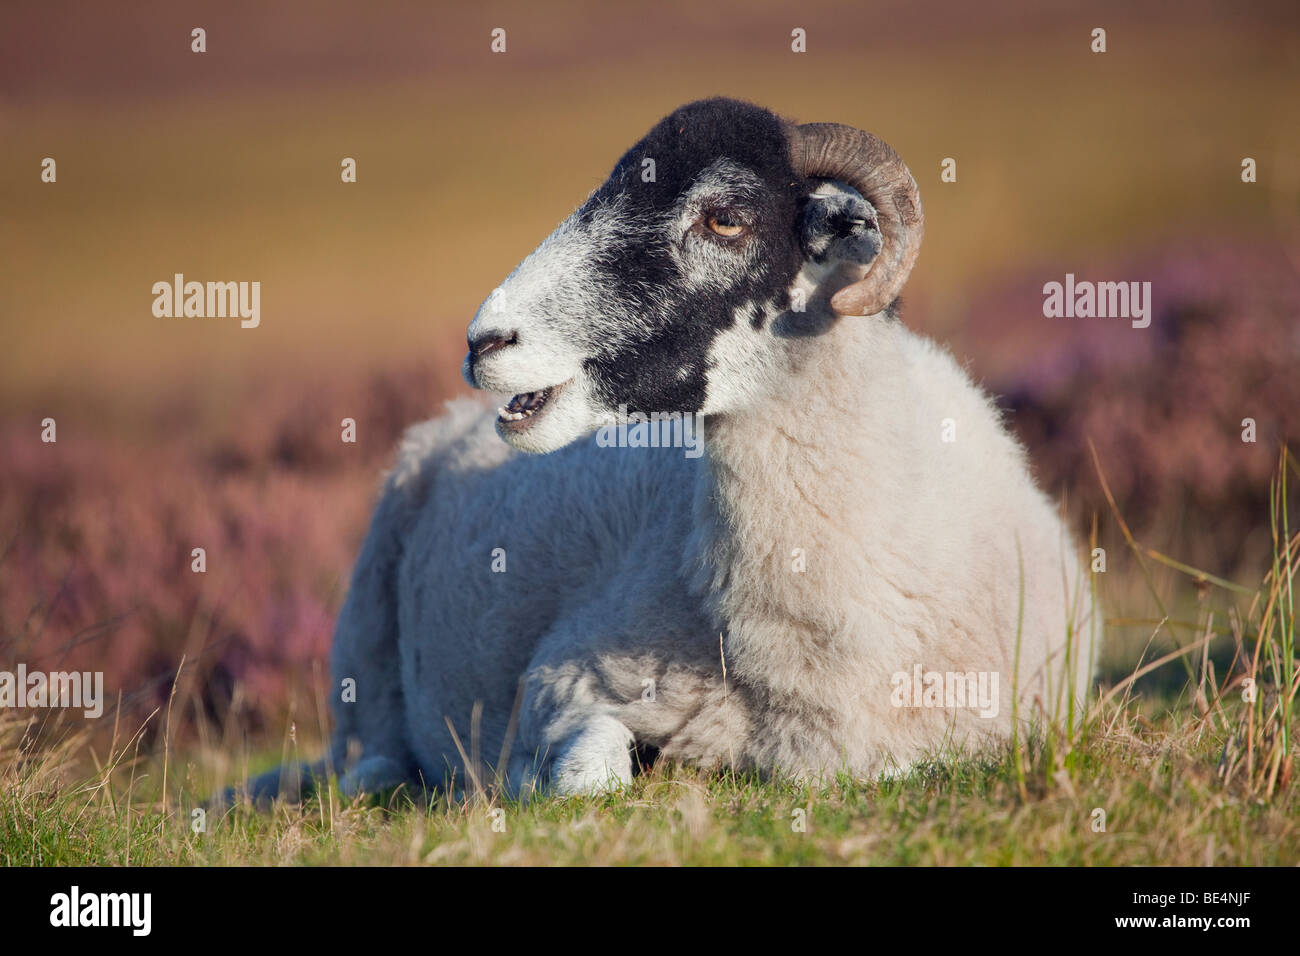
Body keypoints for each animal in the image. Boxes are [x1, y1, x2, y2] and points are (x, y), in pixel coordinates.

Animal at [233, 97, 1097, 806]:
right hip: (363, 660)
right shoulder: (561, 683)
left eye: (725, 218)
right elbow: (587, 779)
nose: (485, 341)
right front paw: (526, 782)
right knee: (366, 760)